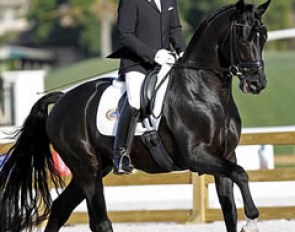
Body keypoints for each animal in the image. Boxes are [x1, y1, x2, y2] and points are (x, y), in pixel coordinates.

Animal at [0, 0, 272, 232]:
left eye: (264, 36)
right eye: (243, 37)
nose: (256, 84)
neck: (204, 92)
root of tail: (62, 100)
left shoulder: (225, 155)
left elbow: (230, 209)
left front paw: (246, 219)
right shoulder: (197, 156)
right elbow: (241, 173)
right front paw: (252, 217)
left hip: (94, 168)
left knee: (60, 209)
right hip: (87, 169)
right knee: (99, 221)